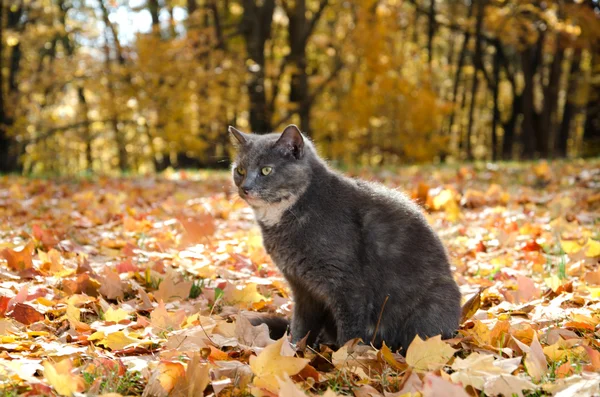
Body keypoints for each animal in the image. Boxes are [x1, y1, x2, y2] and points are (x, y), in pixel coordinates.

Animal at [229, 125, 460, 352]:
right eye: (240, 170)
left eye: (266, 170)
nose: (245, 188)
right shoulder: (302, 288)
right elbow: (301, 326)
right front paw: (293, 352)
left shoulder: (348, 285)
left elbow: (350, 332)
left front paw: (343, 359)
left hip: (430, 309)